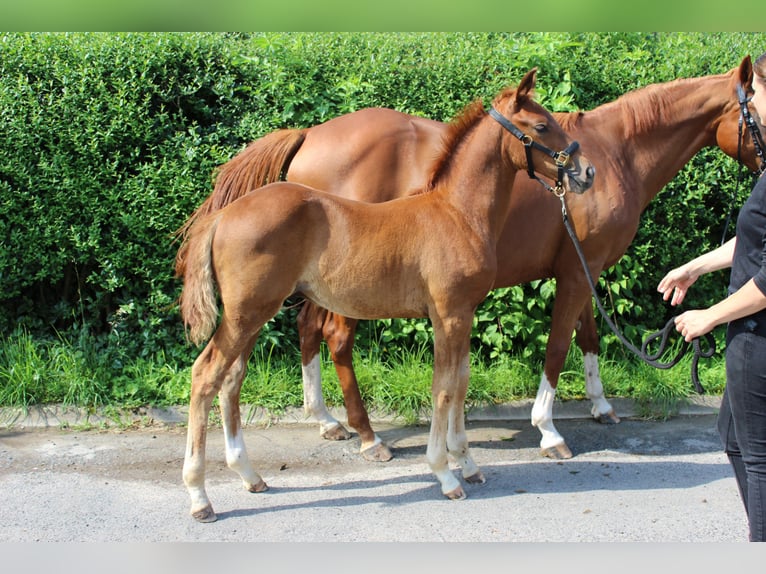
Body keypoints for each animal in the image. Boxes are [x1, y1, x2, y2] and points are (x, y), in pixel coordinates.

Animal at [176, 70, 600, 524]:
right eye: (541, 126)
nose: (587, 172)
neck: (458, 213)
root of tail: (224, 215)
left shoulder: (464, 312)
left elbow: (462, 382)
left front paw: (467, 463)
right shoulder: (448, 314)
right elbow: (444, 387)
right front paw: (445, 475)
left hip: (252, 313)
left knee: (231, 378)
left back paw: (249, 476)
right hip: (247, 313)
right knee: (205, 375)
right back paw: (200, 496)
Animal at [182, 56, 766, 466]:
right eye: (759, 113)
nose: (584, 175)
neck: (618, 149)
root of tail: (310, 135)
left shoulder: (584, 266)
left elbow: (589, 335)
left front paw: (601, 406)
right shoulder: (576, 272)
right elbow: (559, 344)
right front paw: (548, 429)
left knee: (308, 329)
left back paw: (327, 419)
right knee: (336, 339)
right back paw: (367, 436)